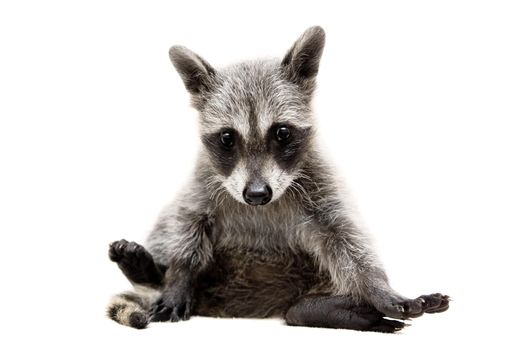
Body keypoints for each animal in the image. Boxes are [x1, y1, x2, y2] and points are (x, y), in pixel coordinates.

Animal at [107, 26, 450, 332]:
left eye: (282, 133)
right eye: (227, 138)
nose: (257, 194)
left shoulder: (320, 181)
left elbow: (346, 239)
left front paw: (378, 287)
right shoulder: (203, 182)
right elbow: (187, 222)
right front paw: (179, 276)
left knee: (298, 308)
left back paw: (335, 308)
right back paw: (150, 271)